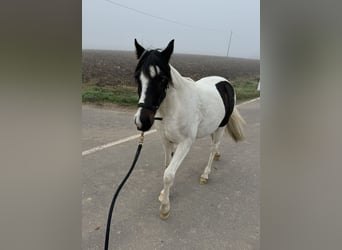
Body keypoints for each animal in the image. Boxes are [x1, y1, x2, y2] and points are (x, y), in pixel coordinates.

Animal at [134, 39, 246, 219]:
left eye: (163, 78)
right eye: (137, 77)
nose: (142, 121)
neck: (174, 108)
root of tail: (225, 82)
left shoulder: (185, 143)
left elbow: (168, 174)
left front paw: (165, 207)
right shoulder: (166, 141)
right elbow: (167, 166)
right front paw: (165, 193)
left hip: (221, 126)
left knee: (213, 148)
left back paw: (205, 174)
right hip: (213, 126)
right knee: (215, 146)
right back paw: (218, 155)